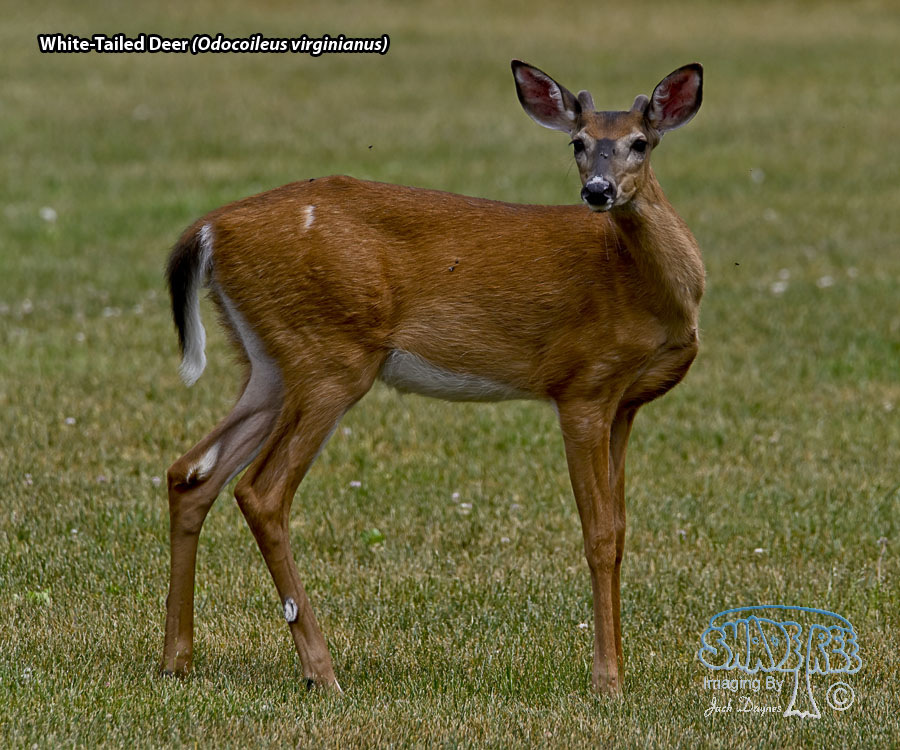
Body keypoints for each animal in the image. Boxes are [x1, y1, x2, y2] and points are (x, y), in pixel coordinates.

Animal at [161, 60, 704, 696]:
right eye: (578, 141)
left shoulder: (625, 403)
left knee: (191, 473)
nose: (598, 191)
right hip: (331, 357)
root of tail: (208, 229)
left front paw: (618, 670)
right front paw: (607, 682)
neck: (646, 291)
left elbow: (619, 533)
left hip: (269, 365)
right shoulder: (582, 386)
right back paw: (322, 671)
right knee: (260, 491)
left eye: (640, 142)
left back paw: (176, 659)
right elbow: (597, 535)